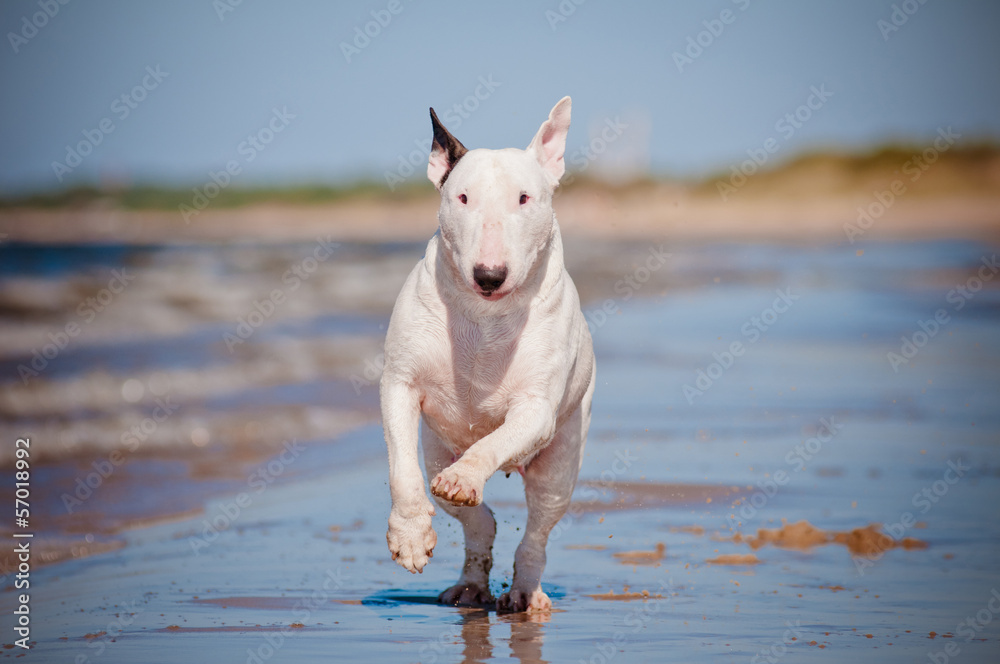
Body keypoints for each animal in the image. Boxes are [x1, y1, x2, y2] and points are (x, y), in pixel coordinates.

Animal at [380, 94, 592, 612]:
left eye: (524, 198)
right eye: (462, 198)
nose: (489, 276)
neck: (484, 317)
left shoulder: (536, 409)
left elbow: (492, 443)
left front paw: (467, 476)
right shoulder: (399, 384)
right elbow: (400, 468)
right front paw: (410, 536)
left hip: (561, 463)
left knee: (537, 529)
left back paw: (525, 592)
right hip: (438, 449)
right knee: (478, 520)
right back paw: (471, 585)